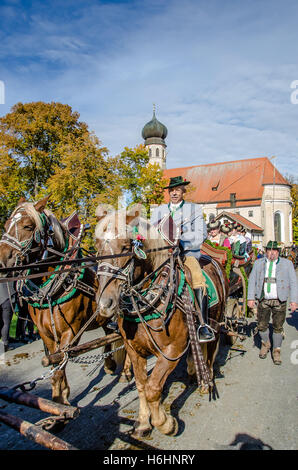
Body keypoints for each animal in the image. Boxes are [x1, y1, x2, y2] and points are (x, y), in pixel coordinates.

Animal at [0, 196, 127, 406]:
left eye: (27, 226)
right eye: (6, 224)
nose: (2, 261)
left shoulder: (70, 331)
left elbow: (60, 364)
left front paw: (61, 402)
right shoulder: (45, 333)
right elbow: (55, 363)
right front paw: (60, 395)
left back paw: (126, 372)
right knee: (110, 333)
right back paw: (109, 365)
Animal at [95, 206, 228, 436]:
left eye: (125, 246)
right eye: (96, 247)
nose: (105, 303)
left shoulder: (171, 351)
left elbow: (153, 388)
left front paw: (165, 423)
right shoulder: (134, 349)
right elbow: (141, 385)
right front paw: (143, 422)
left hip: (216, 324)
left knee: (211, 353)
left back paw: (207, 381)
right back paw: (194, 368)